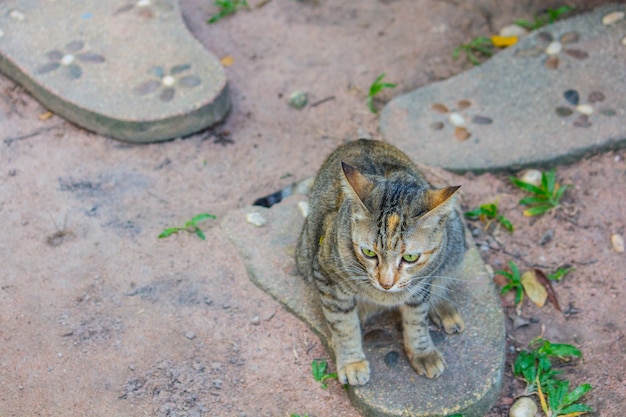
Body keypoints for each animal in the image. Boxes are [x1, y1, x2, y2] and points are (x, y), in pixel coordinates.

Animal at [294, 138, 466, 386]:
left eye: (410, 257)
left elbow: (417, 319)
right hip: (306, 250)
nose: (386, 283)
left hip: (455, 237)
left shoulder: (422, 282)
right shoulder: (327, 279)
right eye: (368, 252)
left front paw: (422, 352)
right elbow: (343, 324)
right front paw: (352, 362)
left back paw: (443, 308)